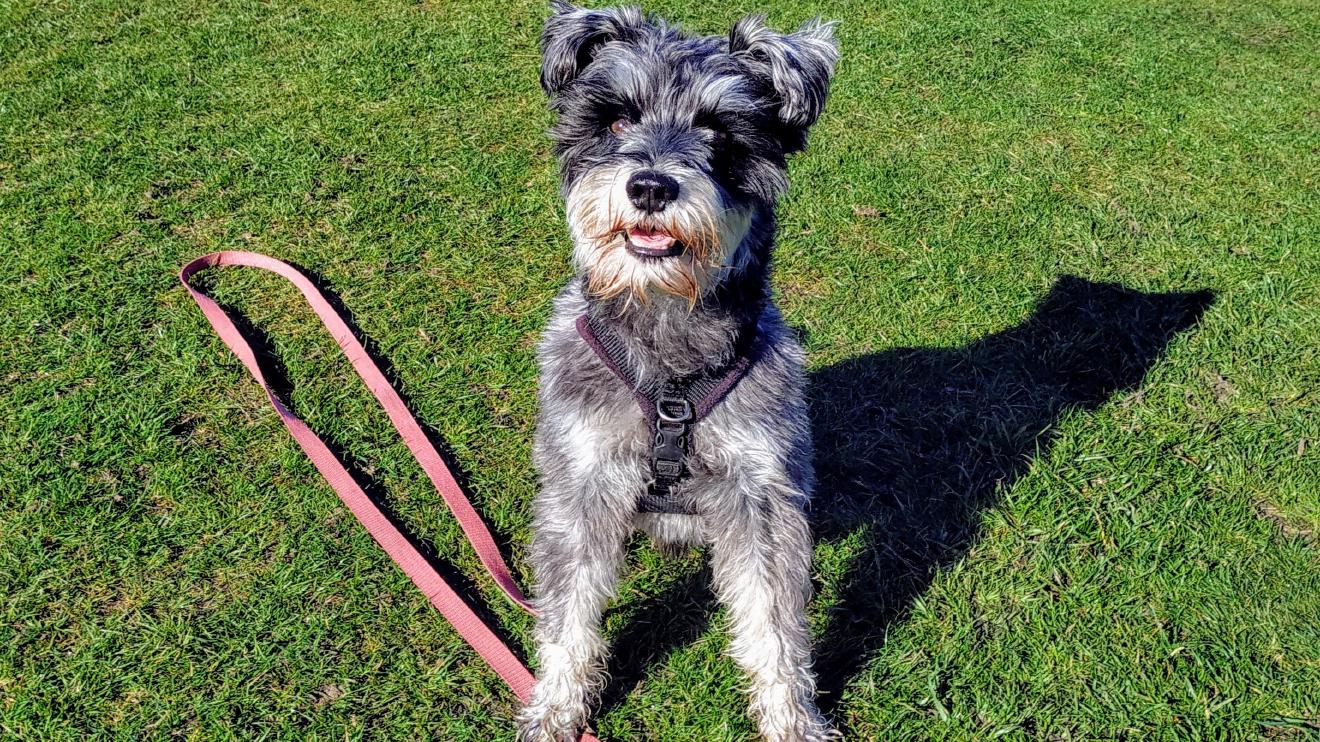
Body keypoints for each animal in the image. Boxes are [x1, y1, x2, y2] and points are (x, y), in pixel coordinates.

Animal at [514, 2, 834, 734]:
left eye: (718, 131)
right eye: (616, 119)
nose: (651, 185)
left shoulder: (761, 492)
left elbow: (774, 624)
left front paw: (792, 720)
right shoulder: (581, 485)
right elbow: (568, 614)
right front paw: (555, 708)